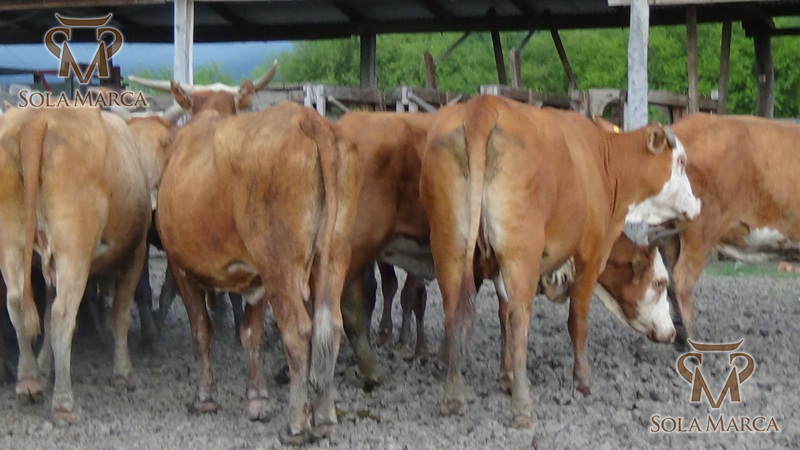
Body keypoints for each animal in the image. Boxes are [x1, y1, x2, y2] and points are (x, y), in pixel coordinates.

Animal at [0, 105, 176, 425]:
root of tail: (37, 119)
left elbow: (45, 316)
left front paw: (43, 367)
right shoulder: (134, 254)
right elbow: (119, 314)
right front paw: (123, 373)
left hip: (11, 242)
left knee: (17, 303)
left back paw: (29, 381)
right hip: (74, 249)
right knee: (63, 315)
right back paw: (64, 403)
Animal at [152, 67, 361, 443]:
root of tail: (308, 119)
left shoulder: (181, 268)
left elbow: (202, 331)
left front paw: (204, 397)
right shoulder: (256, 279)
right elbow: (251, 335)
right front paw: (257, 399)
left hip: (280, 266)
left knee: (298, 331)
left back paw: (296, 425)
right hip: (333, 257)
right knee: (331, 326)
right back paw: (324, 417)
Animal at [420, 95, 700, 428]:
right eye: (659, 283)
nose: (697, 204)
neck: (600, 165)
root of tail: (483, 107)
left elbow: (501, 314)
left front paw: (506, 375)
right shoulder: (590, 255)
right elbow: (577, 319)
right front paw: (582, 381)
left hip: (450, 246)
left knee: (455, 313)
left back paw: (454, 397)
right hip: (520, 254)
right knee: (519, 318)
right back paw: (522, 407)